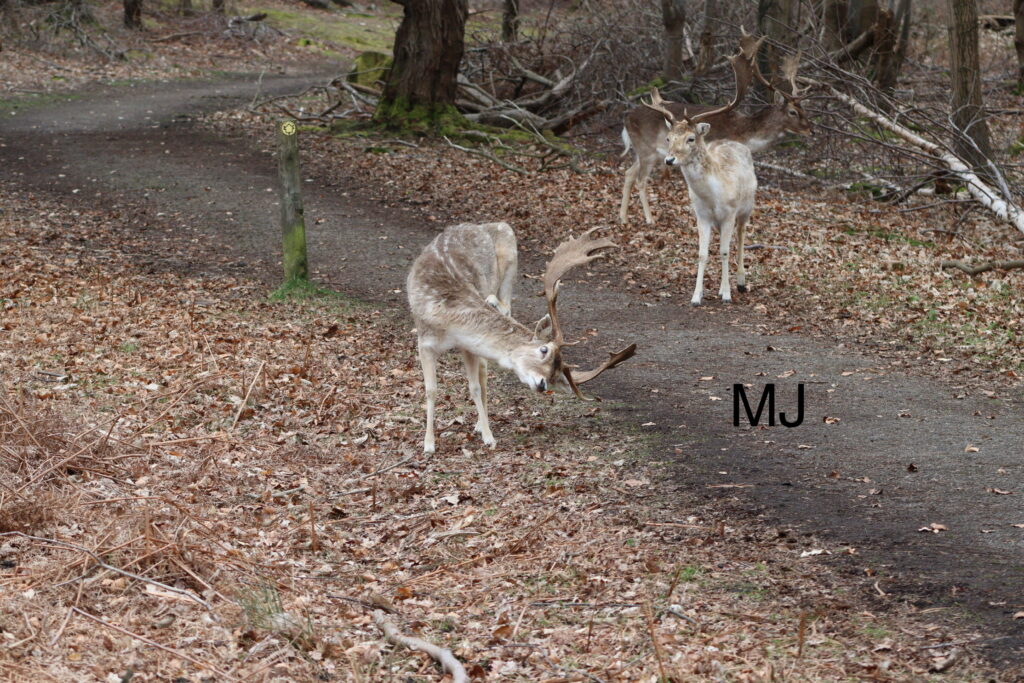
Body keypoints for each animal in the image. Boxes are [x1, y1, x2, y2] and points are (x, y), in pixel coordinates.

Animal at [406, 222, 637, 453]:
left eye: (554, 375)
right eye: (543, 350)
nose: (542, 384)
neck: (447, 321)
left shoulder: (468, 346)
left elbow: (475, 386)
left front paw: (488, 437)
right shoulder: (424, 342)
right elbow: (431, 390)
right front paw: (428, 444)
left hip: (510, 260)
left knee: (500, 324)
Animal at [619, 31, 811, 225]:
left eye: (803, 109)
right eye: (793, 112)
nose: (810, 130)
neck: (743, 133)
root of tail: (627, 117)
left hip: (648, 152)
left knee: (628, 173)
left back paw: (623, 217)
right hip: (647, 150)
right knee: (641, 179)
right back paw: (649, 219)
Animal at [642, 51, 758, 306]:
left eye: (691, 138)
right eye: (669, 138)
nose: (669, 159)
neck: (712, 196)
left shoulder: (729, 213)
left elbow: (724, 251)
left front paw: (726, 294)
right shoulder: (701, 215)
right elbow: (702, 253)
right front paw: (697, 296)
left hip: (747, 208)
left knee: (741, 237)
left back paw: (741, 283)